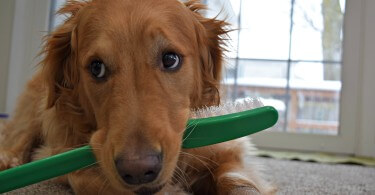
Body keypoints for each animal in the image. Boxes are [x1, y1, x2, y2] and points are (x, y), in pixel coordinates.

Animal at [0, 0, 276, 194]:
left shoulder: (226, 151)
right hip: (35, 109)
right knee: (18, 137)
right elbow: (85, 178)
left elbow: (236, 180)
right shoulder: (62, 150)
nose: (140, 170)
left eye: (170, 59)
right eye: (96, 68)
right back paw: (8, 159)